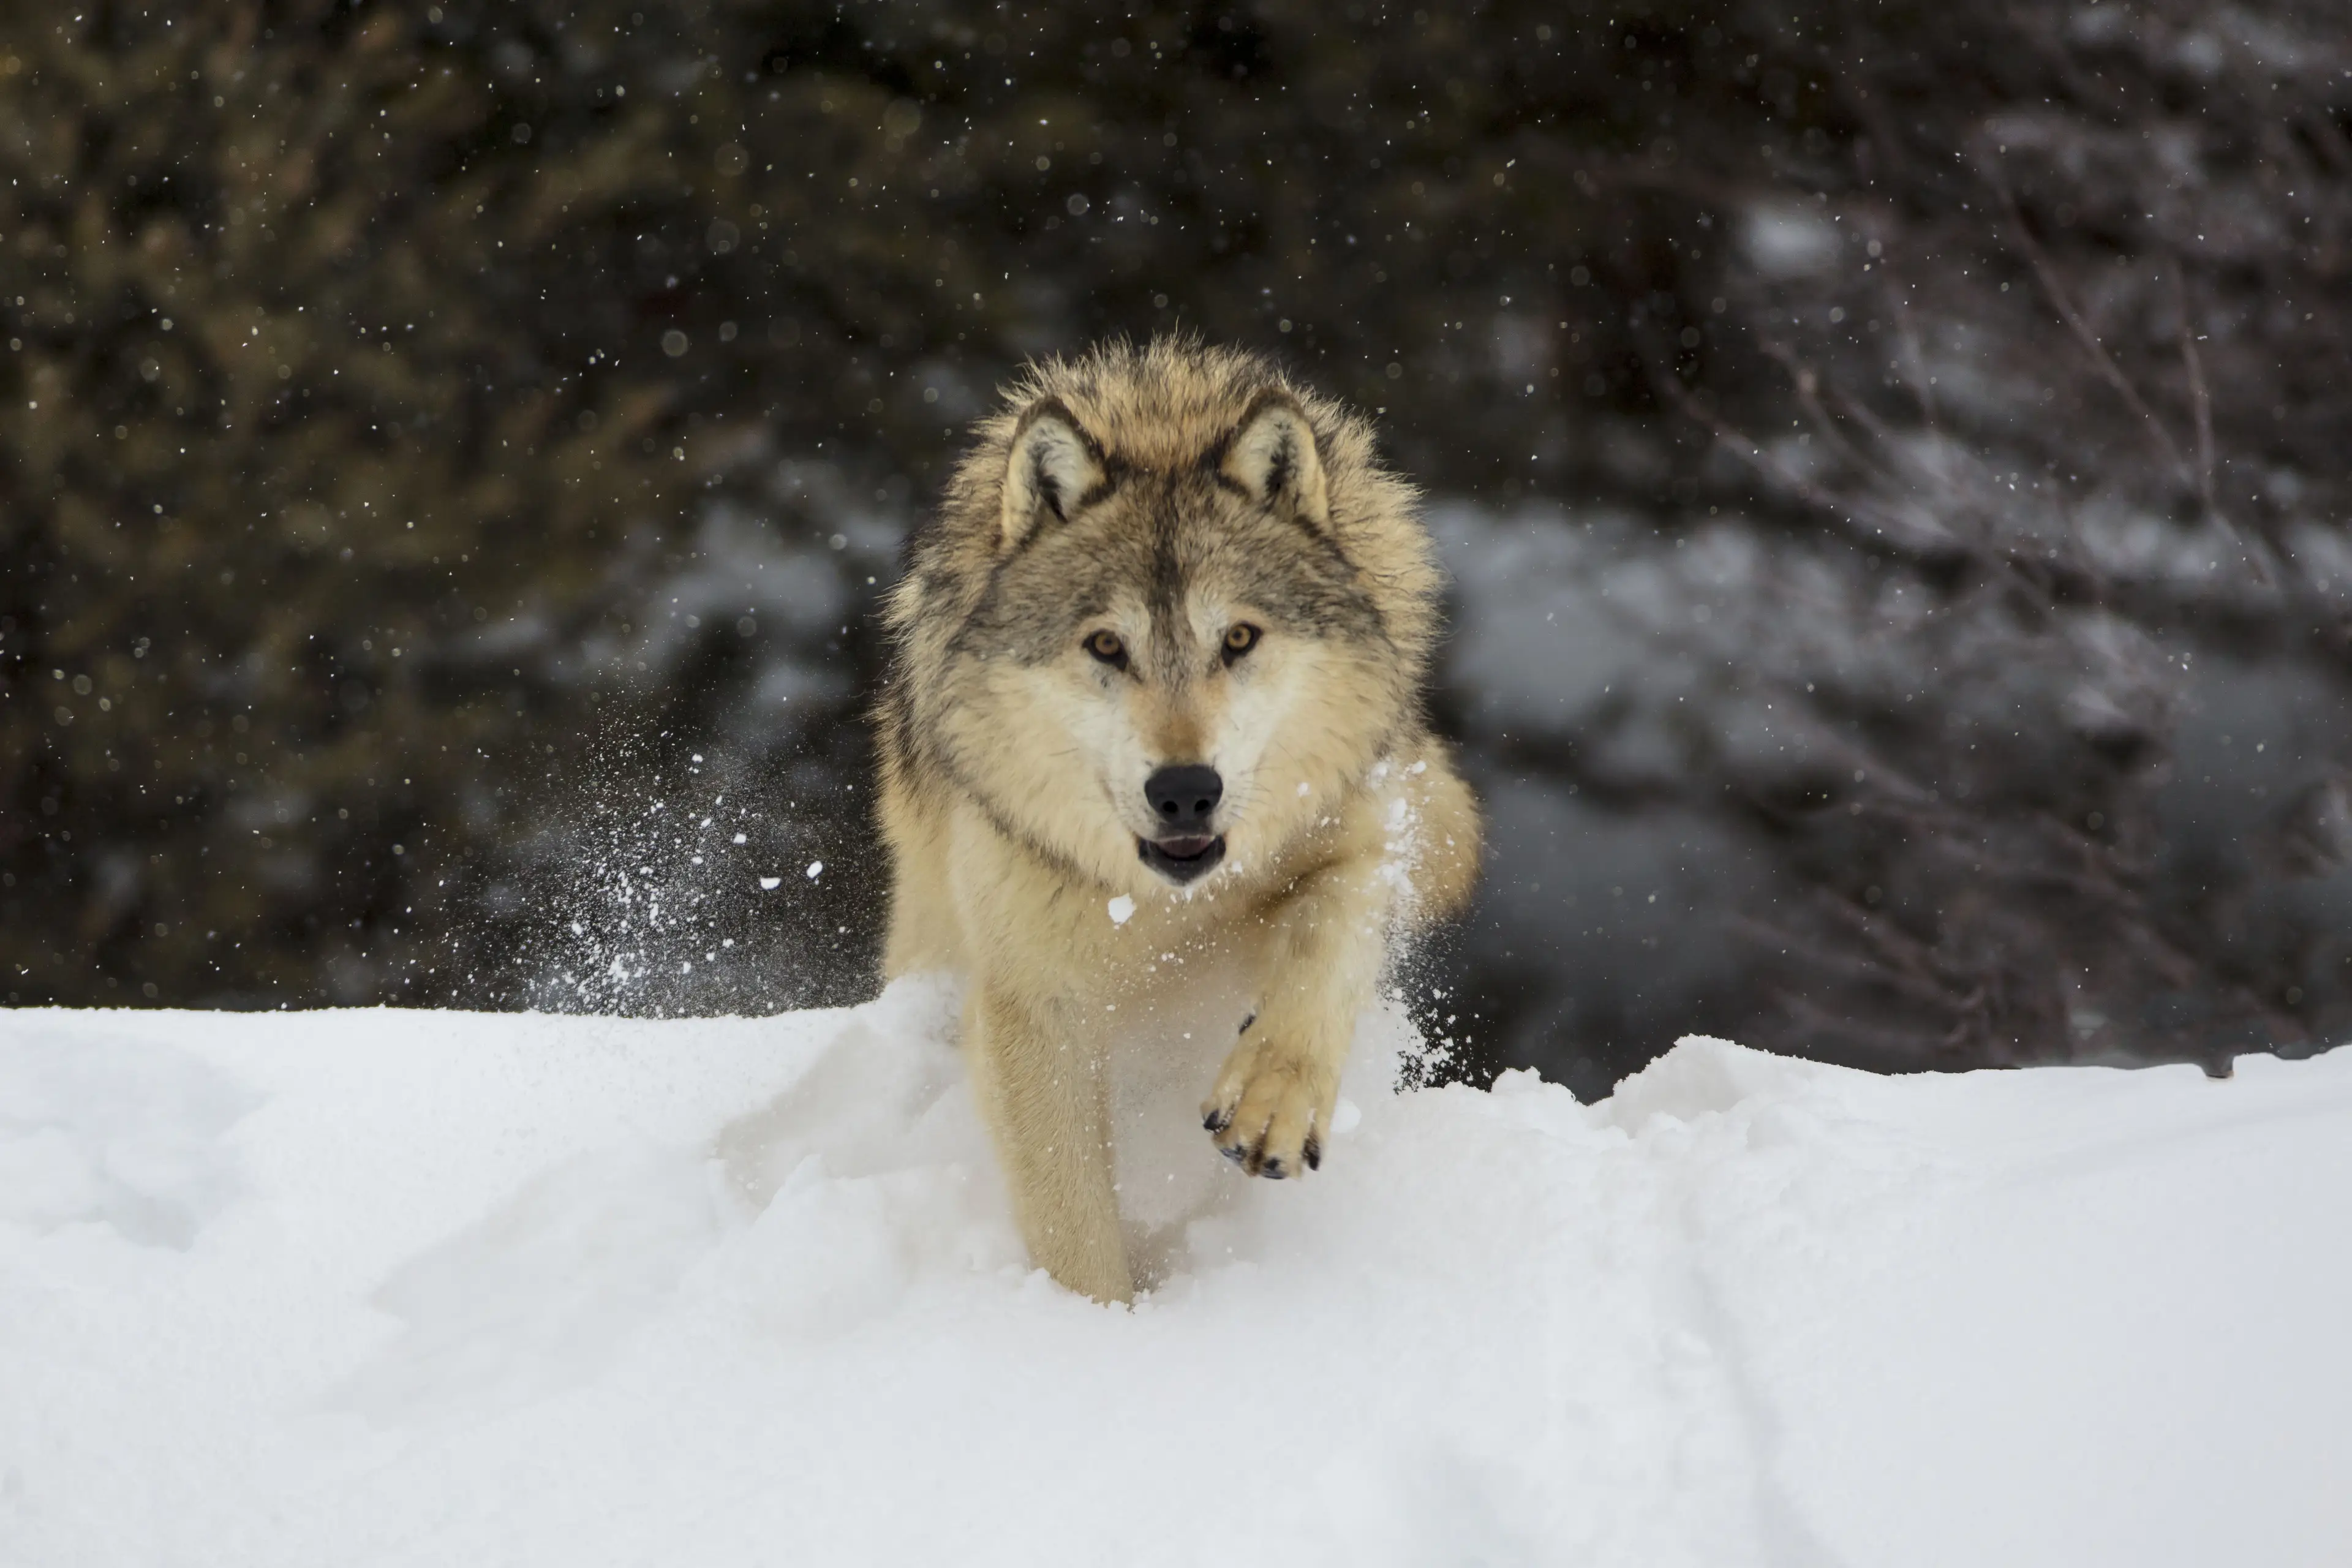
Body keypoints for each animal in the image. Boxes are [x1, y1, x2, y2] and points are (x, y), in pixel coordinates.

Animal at [875, 338, 1481, 1303]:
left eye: (1237, 639)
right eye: (1105, 645)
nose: (1187, 791)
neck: (1166, 908)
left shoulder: (1367, 833)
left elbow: (1330, 933)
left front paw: (1274, 1100)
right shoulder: (1036, 1007)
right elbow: (1074, 1224)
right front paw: (1099, 1327)